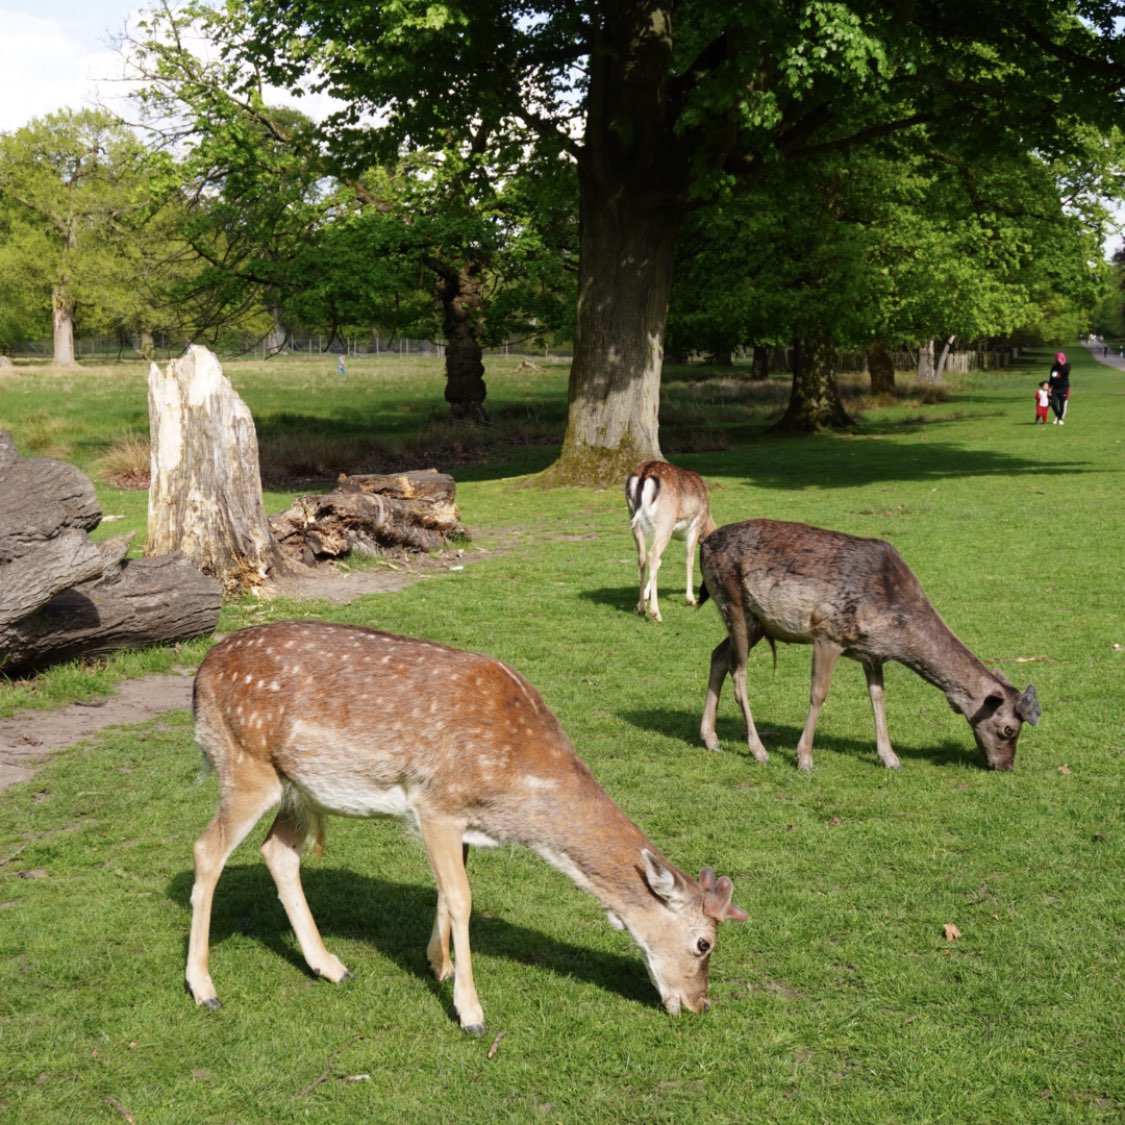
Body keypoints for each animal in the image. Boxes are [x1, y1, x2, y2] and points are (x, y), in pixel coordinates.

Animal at [186, 621, 747, 1030]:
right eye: (705, 943)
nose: (699, 1005)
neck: (515, 796)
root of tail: (198, 677)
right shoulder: (436, 803)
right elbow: (461, 897)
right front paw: (471, 1011)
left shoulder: (462, 822)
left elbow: (446, 888)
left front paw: (439, 964)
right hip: (246, 765)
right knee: (206, 850)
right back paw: (204, 988)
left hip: (299, 790)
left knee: (277, 853)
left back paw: (331, 966)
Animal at [625, 459, 720, 625]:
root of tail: (644, 475)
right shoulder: (695, 525)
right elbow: (689, 559)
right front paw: (691, 599)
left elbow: (661, 562)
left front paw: (642, 599)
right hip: (665, 521)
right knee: (653, 555)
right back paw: (656, 614)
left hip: (635, 520)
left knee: (643, 558)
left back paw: (642, 608)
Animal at [697, 519, 1039, 769]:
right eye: (1009, 729)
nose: (1006, 766)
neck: (896, 631)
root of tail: (703, 547)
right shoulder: (828, 634)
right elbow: (818, 694)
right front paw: (804, 758)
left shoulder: (873, 654)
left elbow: (878, 697)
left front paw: (891, 758)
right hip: (734, 604)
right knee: (739, 672)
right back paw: (758, 750)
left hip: (756, 622)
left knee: (718, 655)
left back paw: (711, 740)